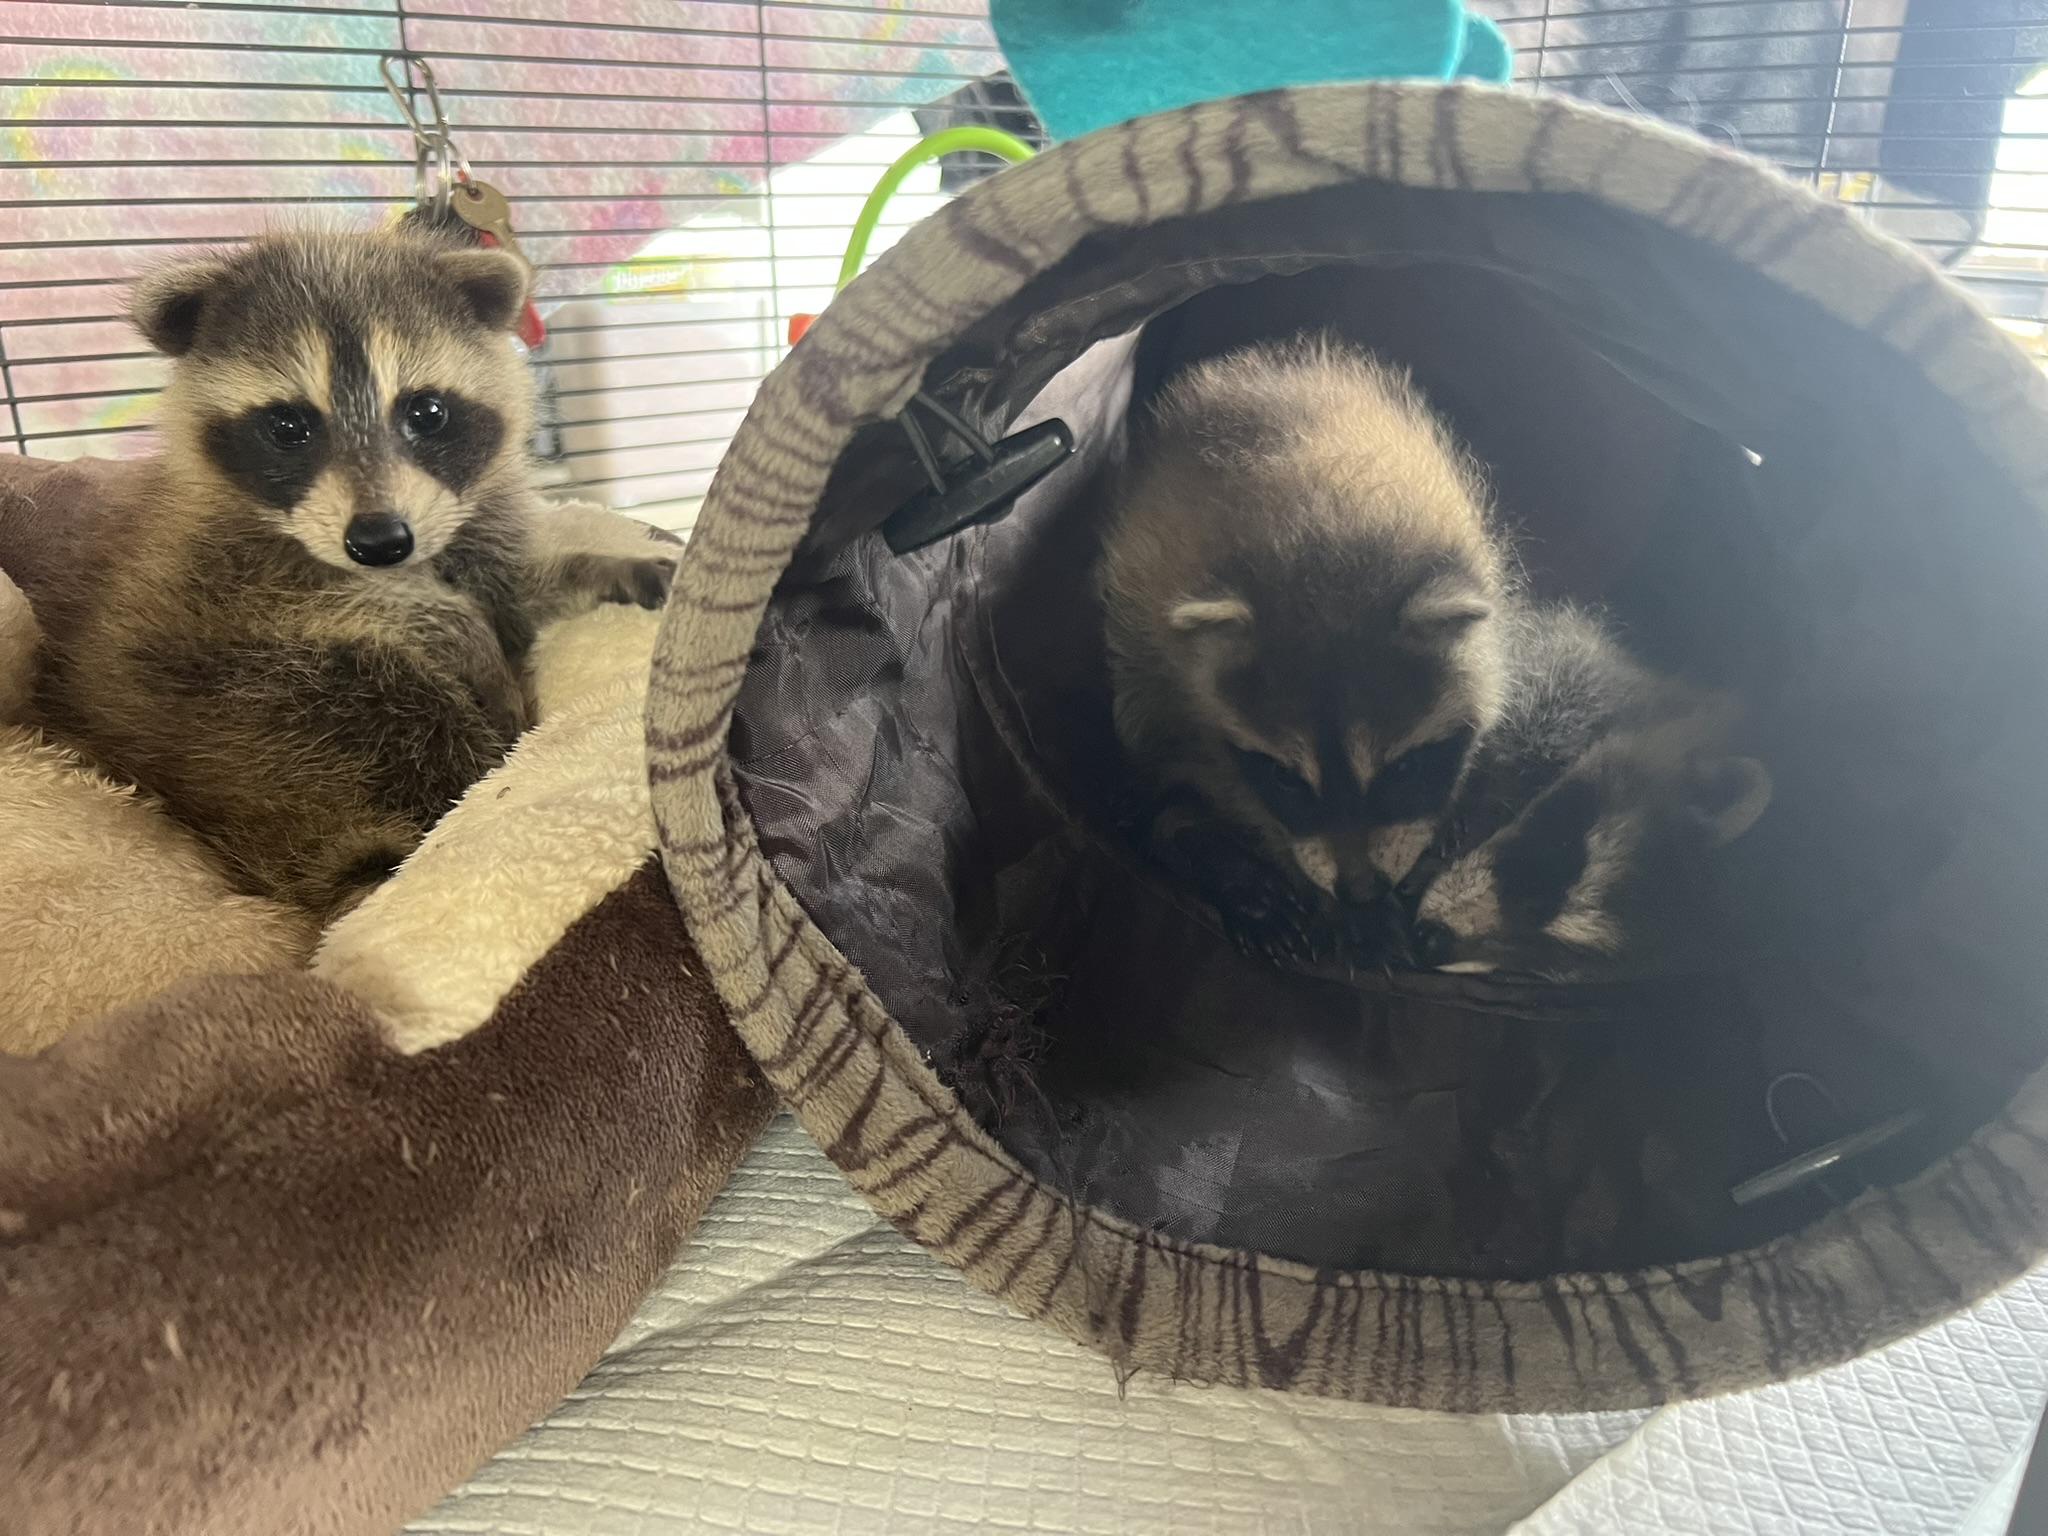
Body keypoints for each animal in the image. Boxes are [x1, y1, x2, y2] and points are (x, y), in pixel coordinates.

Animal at [36, 227, 675, 918]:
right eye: (288, 425)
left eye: (427, 412)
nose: (379, 541)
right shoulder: (221, 579)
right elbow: (385, 610)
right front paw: (454, 624)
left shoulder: (479, 532)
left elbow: (514, 592)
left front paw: (595, 565)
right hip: (243, 704)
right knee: (397, 702)